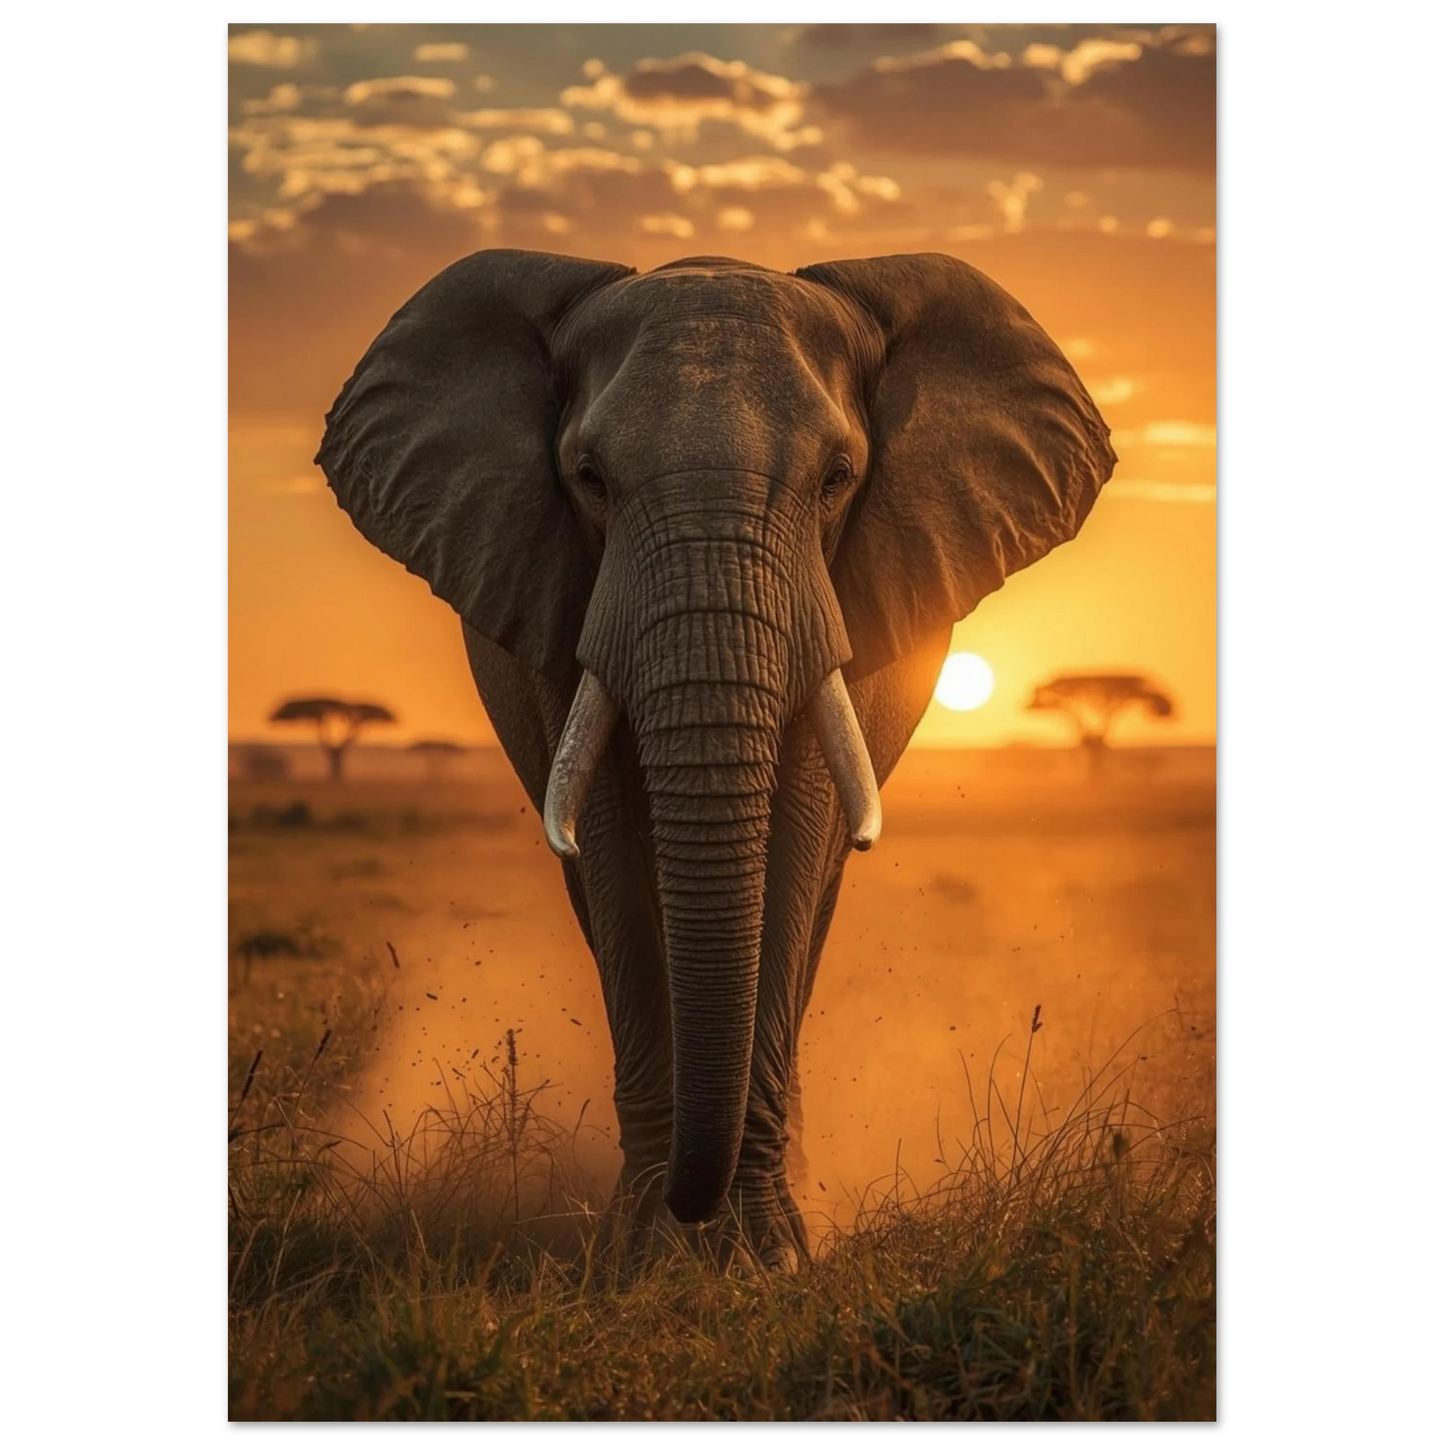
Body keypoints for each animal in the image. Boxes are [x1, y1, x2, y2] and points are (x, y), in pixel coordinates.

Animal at [315, 249, 1116, 1270]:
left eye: (838, 477)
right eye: (588, 478)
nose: (693, 1211)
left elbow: (795, 845)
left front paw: (769, 1258)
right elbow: (614, 859)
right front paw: (643, 1258)